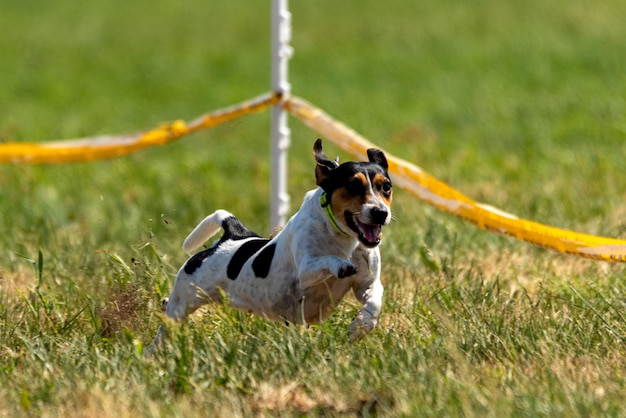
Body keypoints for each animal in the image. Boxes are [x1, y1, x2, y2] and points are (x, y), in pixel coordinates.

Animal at [153, 139, 390, 344]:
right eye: (353, 185)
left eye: (386, 186)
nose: (380, 213)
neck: (345, 237)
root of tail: (231, 235)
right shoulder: (306, 270)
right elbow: (326, 260)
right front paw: (341, 265)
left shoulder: (366, 283)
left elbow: (375, 300)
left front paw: (361, 325)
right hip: (183, 303)